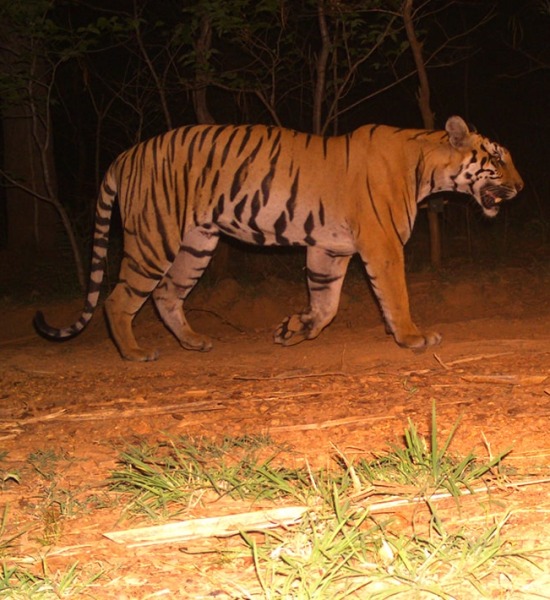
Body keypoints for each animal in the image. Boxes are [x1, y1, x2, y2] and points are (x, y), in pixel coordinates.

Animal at [32, 117, 524, 360]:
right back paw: (135, 353)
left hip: (197, 243)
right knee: (119, 300)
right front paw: (413, 338)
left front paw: (294, 329)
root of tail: (124, 155)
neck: (427, 166)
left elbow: (325, 305)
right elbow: (395, 296)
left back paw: (193, 343)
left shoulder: (328, 248)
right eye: (498, 158)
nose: (521, 187)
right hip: (156, 237)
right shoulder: (382, 245)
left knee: (167, 295)